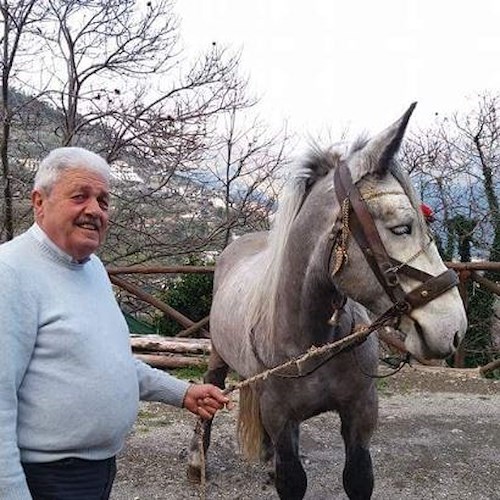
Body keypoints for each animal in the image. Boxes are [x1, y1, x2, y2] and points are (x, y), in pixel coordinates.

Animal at [188, 103, 468, 498]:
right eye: (402, 228)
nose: (453, 327)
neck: (310, 338)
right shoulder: (281, 418)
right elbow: (291, 479)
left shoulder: (360, 415)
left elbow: (358, 478)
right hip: (217, 355)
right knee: (206, 399)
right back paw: (197, 460)